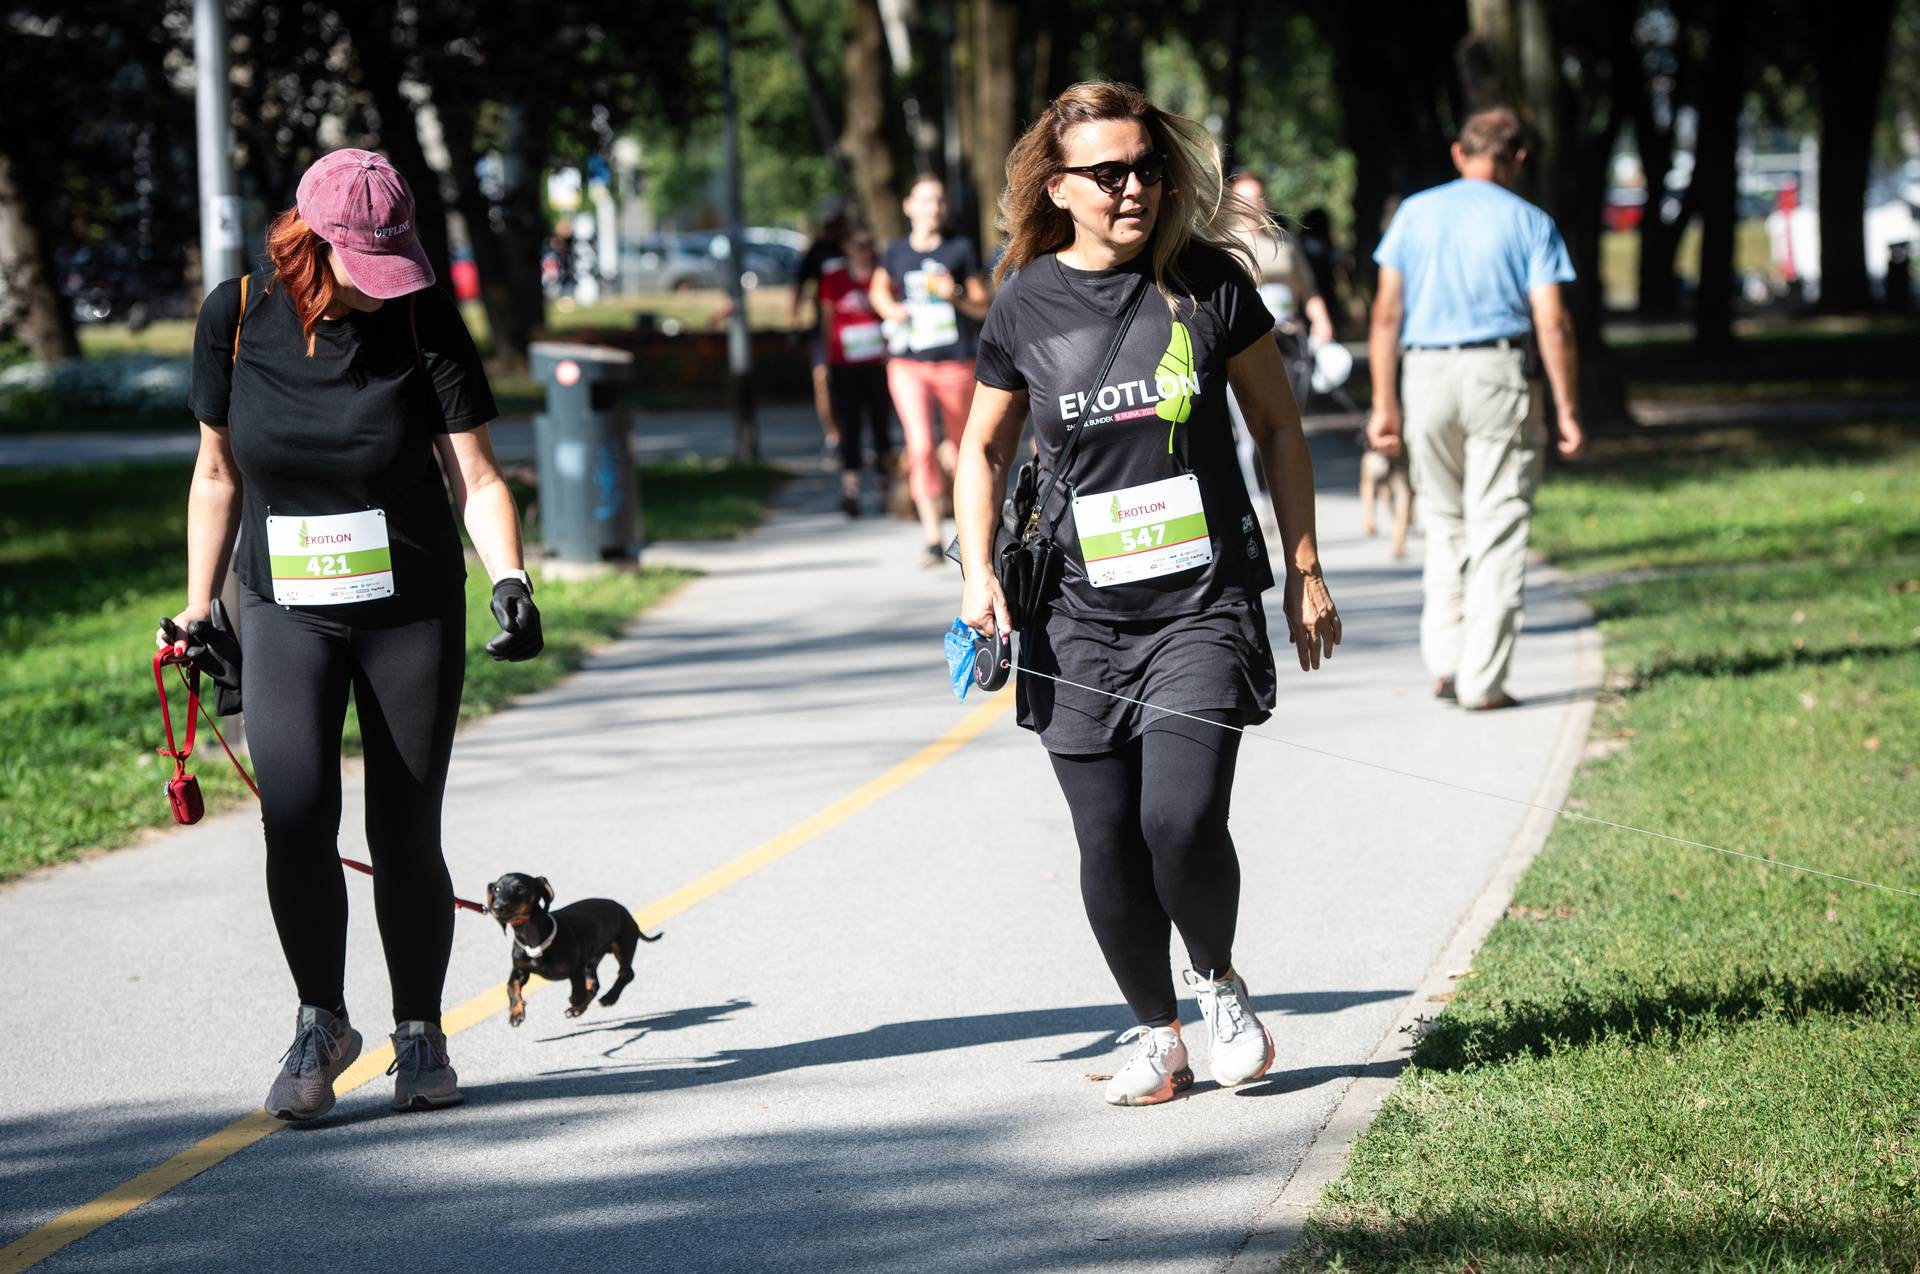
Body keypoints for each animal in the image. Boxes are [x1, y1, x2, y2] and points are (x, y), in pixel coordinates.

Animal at [483, 871, 664, 1028]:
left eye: (520, 887)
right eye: (497, 889)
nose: (497, 907)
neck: (533, 939)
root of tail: (629, 915)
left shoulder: (575, 969)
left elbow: (577, 993)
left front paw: (576, 1002)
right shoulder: (520, 970)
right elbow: (511, 987)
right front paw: (516, 1013)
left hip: (622, 945)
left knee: (626, 973)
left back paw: (608, 998)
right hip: (592, 960)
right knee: (595, 984)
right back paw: (579, 1009)